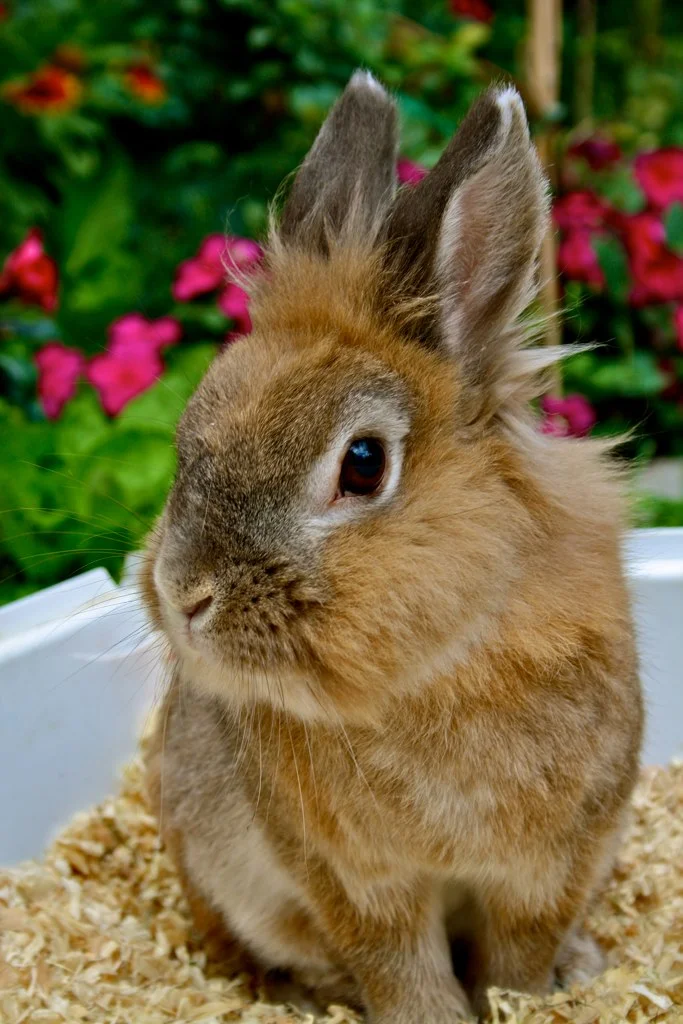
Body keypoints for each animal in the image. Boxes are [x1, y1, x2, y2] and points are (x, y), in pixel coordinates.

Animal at [141, 71, 643, 1024]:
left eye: (363, 465)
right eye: (187, 438)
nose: (185, 595)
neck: (435, 669)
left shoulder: (549, 863)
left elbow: (516, 956)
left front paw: (522, 997)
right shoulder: (353, 879)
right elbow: (400, 967)